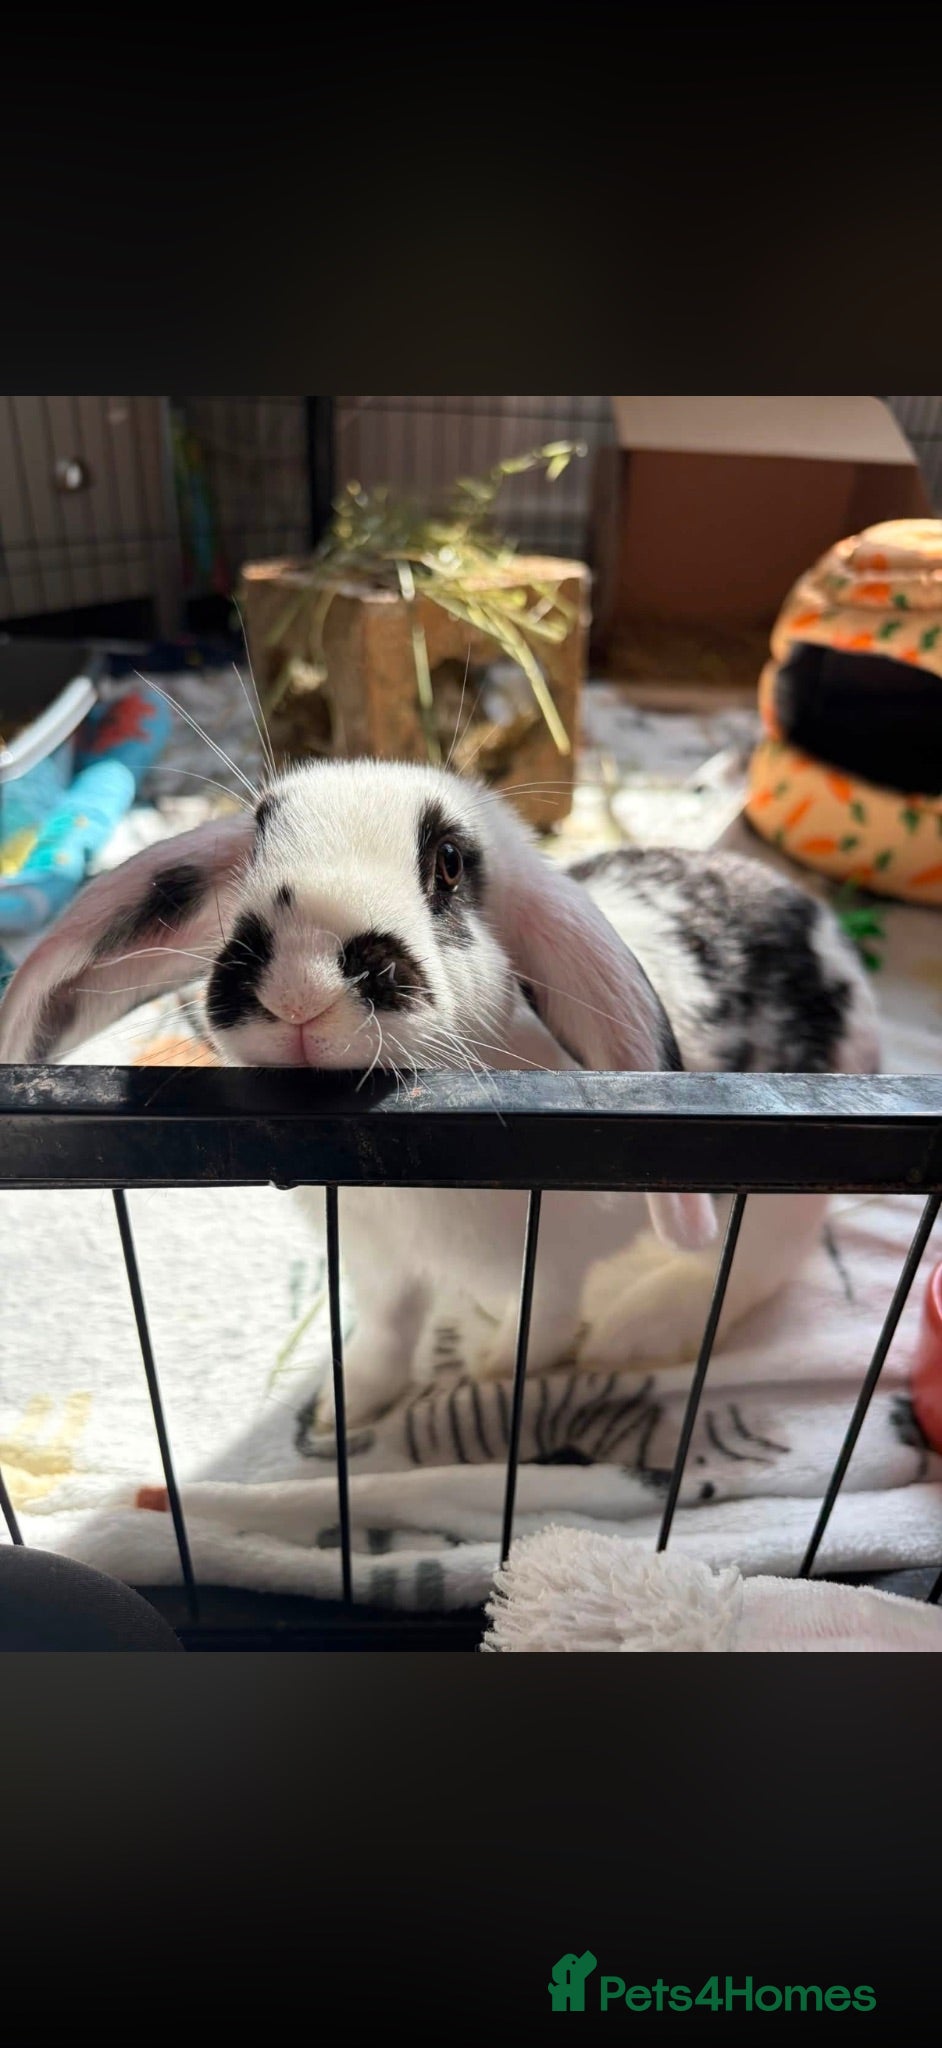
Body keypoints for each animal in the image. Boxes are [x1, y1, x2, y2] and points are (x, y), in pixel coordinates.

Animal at [0, 758, 880, 1432]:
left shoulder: (549, 1262)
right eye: (258, 838)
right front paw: (345, 1408)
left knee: (753, 1270)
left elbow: (541, 1326)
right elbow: (390, 1332)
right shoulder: (378, 1264)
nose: (299, 986)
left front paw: (490, 1375)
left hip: (768, 1209)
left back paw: (638, 1329)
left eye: (449, 864)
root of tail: (827, 934)